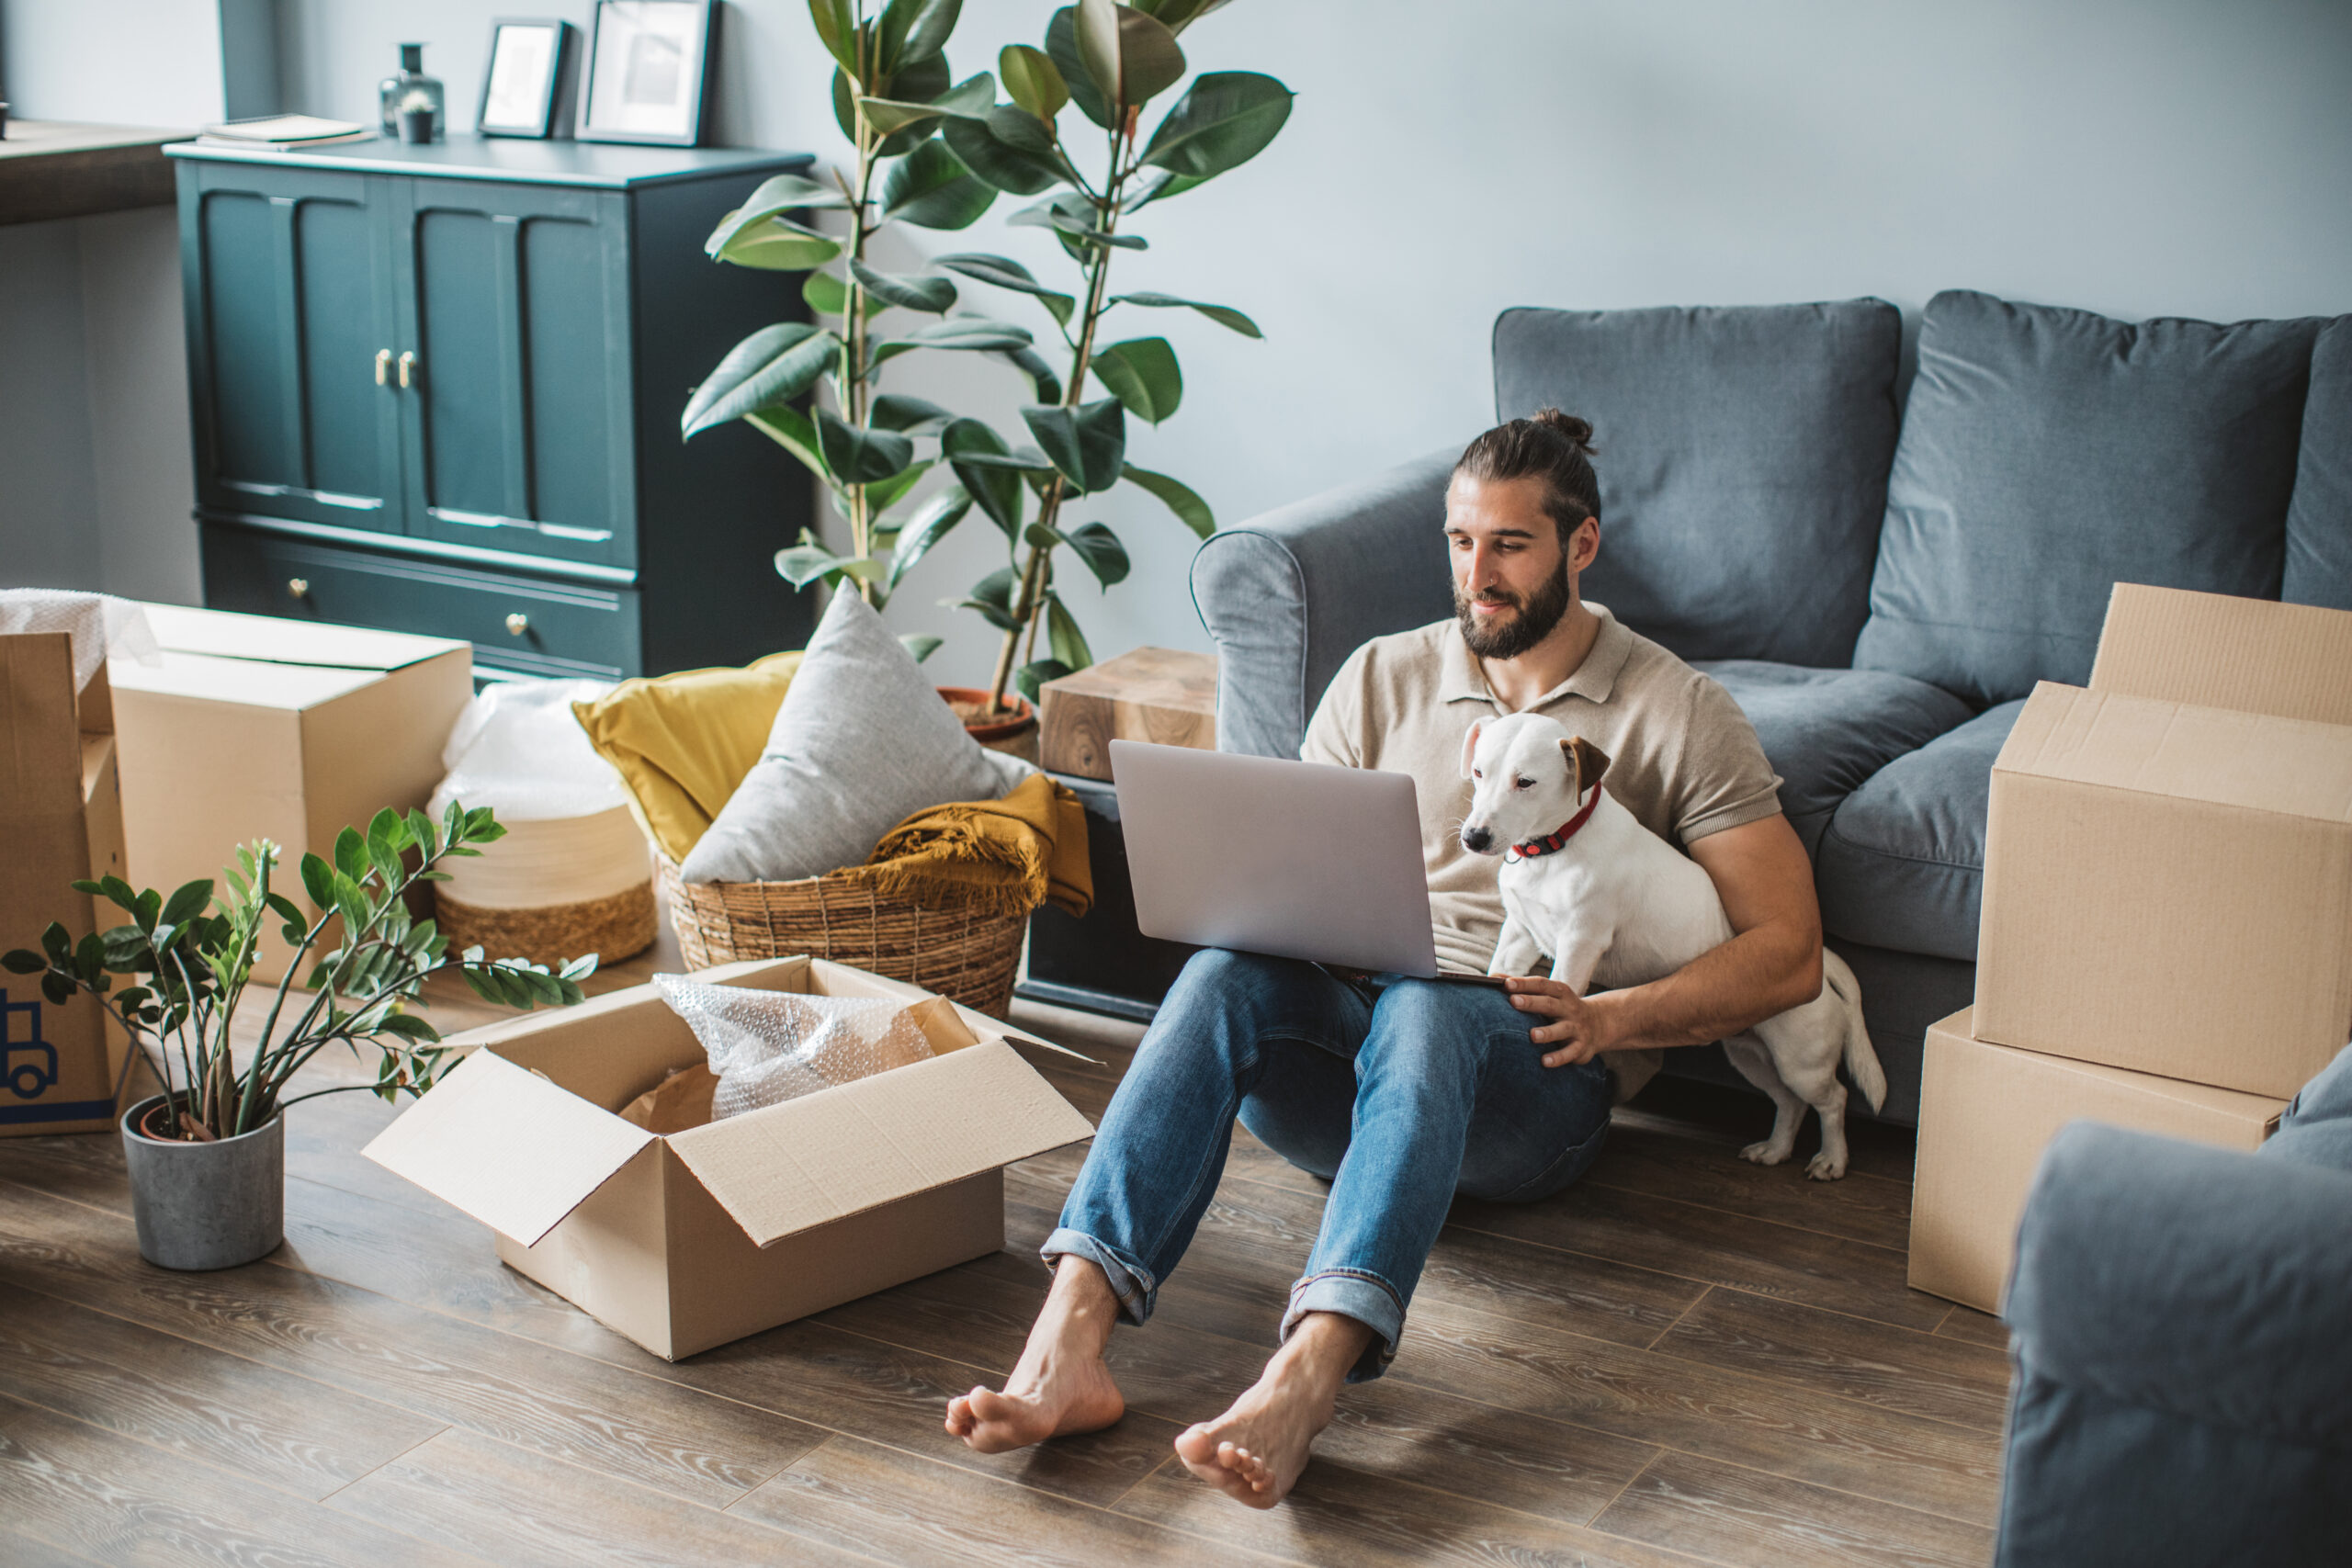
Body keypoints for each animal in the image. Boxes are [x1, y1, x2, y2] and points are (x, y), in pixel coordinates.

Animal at [1458, 709, 1882, 1175]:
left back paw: (1832, 1159)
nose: (1473, 838)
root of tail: (1823, 962)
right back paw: (1775, 1149)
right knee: (1790, 1103)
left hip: (1802, 1060)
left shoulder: (1580, 941)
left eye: (1526, 782)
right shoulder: (1519, 933)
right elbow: (1501, 968)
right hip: (1751, 1054)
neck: (1556, 846)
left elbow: (1564, 985)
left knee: (1833, 1099)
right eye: (1479, 772)